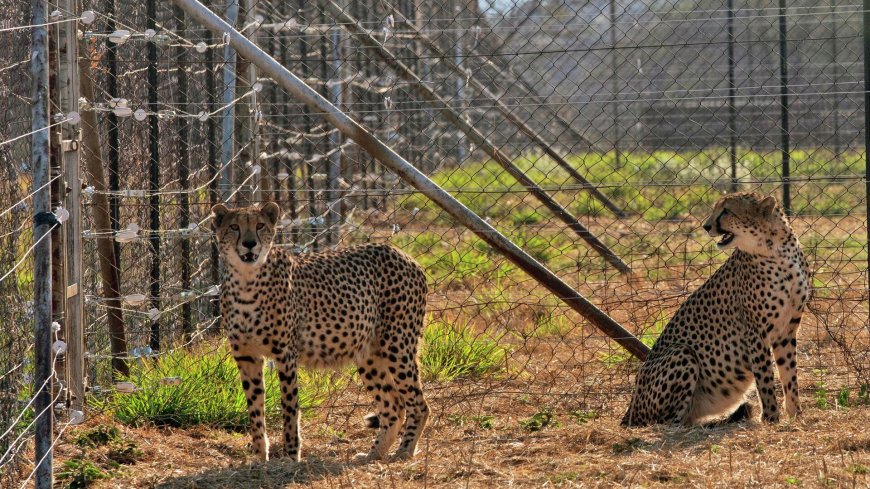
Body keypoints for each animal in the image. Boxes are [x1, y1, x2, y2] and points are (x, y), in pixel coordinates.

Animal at [211, 202, 430, 462]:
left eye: (260, 225)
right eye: (234, 227)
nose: (249, 243)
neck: (246, 280)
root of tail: (401, 253)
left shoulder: (285, 354)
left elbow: (289, 408)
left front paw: (291, 456)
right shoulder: (246, 356)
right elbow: (254, 408)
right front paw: (259, 457)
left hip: (397, 345)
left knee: (418, 404)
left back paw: (404, 451)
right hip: (368, 354)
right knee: (394, 405)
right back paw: (372, 455)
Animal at [624, 193, 816, 426]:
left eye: (726, 211)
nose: (706, 226)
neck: (777, 250)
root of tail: (630, 409)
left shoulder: (787, 330)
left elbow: (789, 374)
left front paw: (796, 414)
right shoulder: (756, 332)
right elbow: (765, 380)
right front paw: (771, 418)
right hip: (682, 352)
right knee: (669, 421)